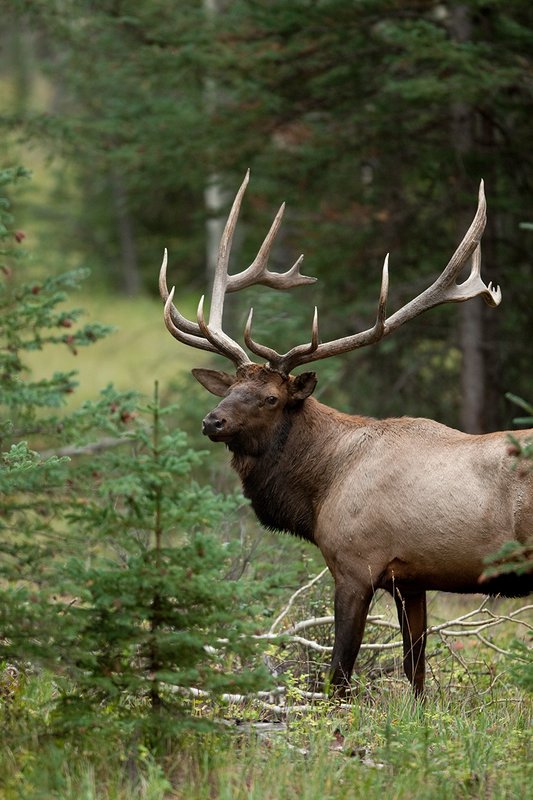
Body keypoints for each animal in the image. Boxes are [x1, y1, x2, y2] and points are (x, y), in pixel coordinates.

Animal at [159, 172, 532, 697]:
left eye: (271, 398)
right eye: (230, 387)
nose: (213, 421)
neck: (321, 487)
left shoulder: (355, 565)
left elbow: (338, 674)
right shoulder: (411, 577)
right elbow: (415, 670)